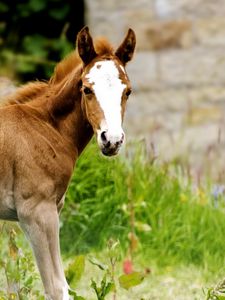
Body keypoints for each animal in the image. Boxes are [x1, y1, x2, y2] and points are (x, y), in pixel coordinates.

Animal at [0, 27, 135, 298]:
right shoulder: (37, 212)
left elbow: (13, 283)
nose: (112, 140)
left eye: (127, 91)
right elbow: (57, 287)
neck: (44, 126)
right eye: (87, 89)